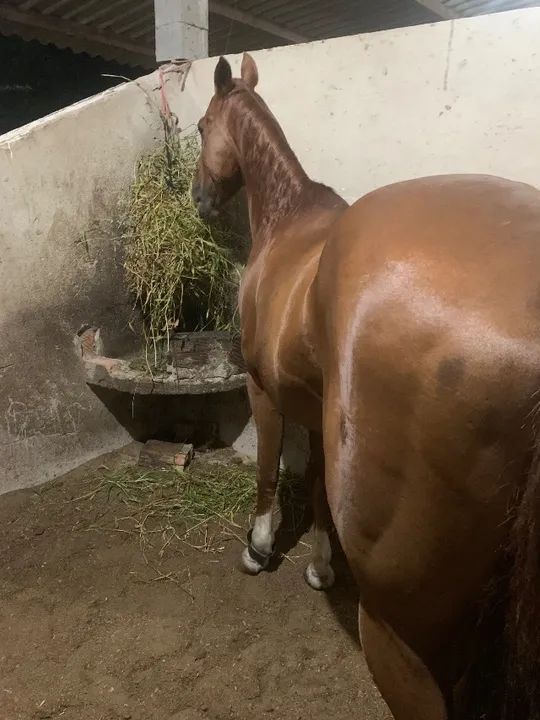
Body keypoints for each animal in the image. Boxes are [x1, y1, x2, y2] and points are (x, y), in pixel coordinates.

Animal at [192, 52, 540, 720]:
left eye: (200, 126)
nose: (198, 200)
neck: (288, 220)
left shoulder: (264, 390)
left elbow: (269, 469)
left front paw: (259, 547)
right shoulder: (315, 406)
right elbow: (317, 487)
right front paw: (322, 566)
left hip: (402, 641)